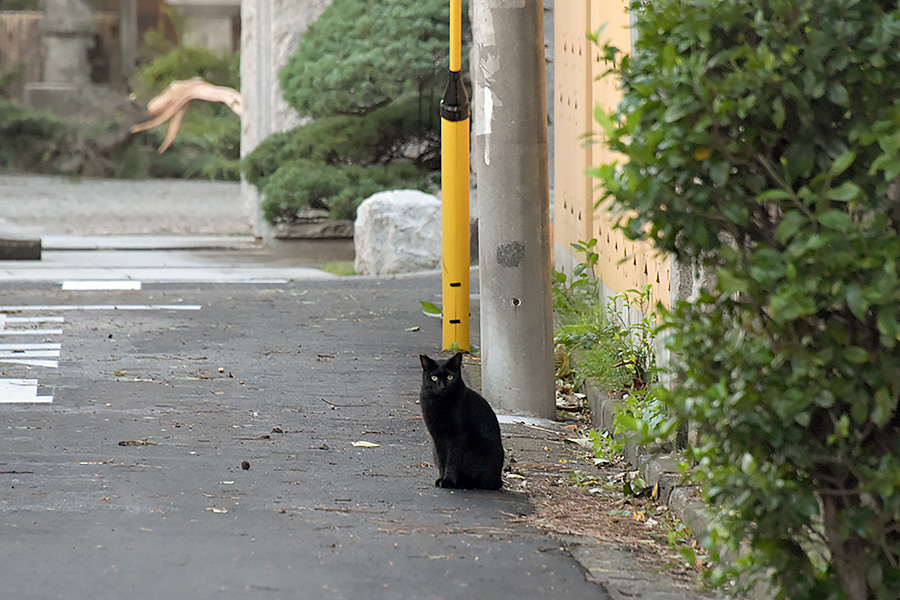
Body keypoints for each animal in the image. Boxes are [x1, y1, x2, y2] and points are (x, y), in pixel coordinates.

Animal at [416, 354, 502, 490]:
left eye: (450, 377)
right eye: (434, 377)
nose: (442, 387)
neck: (440, 404)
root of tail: (499, 479)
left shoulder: (458, 435)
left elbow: (452, 460)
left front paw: (448, 481)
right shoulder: (437, 436)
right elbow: (442, 459)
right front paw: (441, 479)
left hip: (474, 450)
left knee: (482, 482)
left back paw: (462, 483)